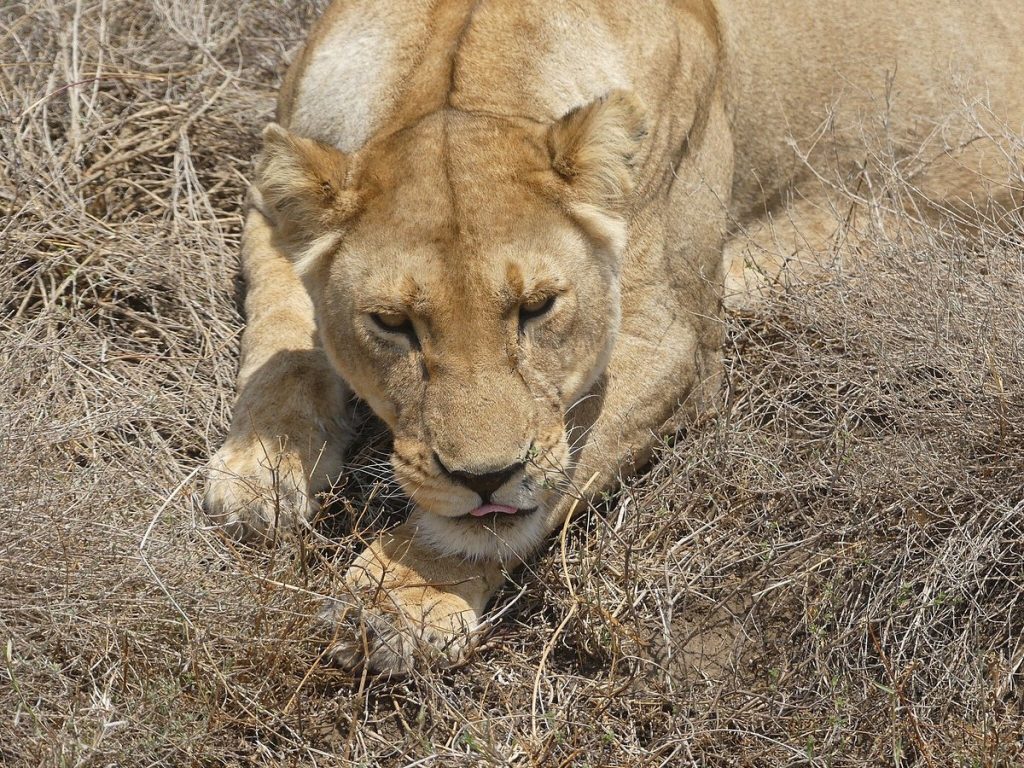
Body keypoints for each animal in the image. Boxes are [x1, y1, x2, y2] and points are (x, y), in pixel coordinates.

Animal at [205, 0, 1024, 674]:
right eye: (392, 323)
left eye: (538, 307)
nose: (484, 478)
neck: (461, 69)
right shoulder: (270, 205)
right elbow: (279, 345)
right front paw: (259, 470)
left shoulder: (672, 340)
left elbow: (524, 496)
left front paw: (401, 599)